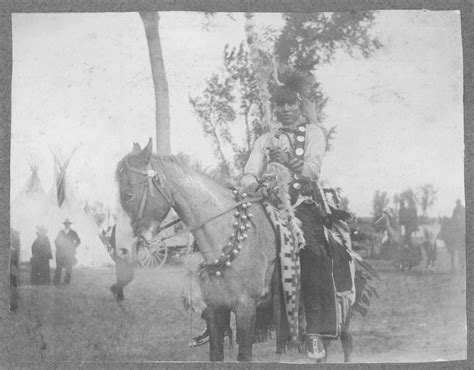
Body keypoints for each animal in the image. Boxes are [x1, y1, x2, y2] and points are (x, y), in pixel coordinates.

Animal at [112, 140, 356, 362]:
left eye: (128, 195)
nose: (122, 248)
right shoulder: (214, 310)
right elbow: (216, 353)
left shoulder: (246, 307)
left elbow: (244, 355)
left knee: (345, 343)